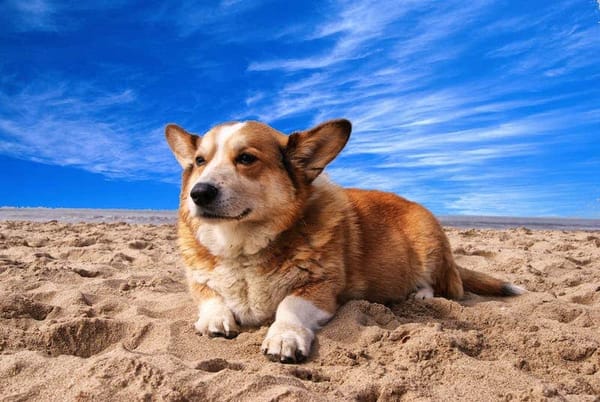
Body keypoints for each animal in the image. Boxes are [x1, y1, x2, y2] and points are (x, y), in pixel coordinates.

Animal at [165, 118, 524, 364]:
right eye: (199, 162)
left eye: (246, 159)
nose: (199, 193)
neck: (241, 245)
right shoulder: (198, 280)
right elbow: (211, 297)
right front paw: (215, 318)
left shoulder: (321, 289)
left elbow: (288, 305)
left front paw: (284, 337)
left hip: (428, 244)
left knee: (440, 284)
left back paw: (421, 295)